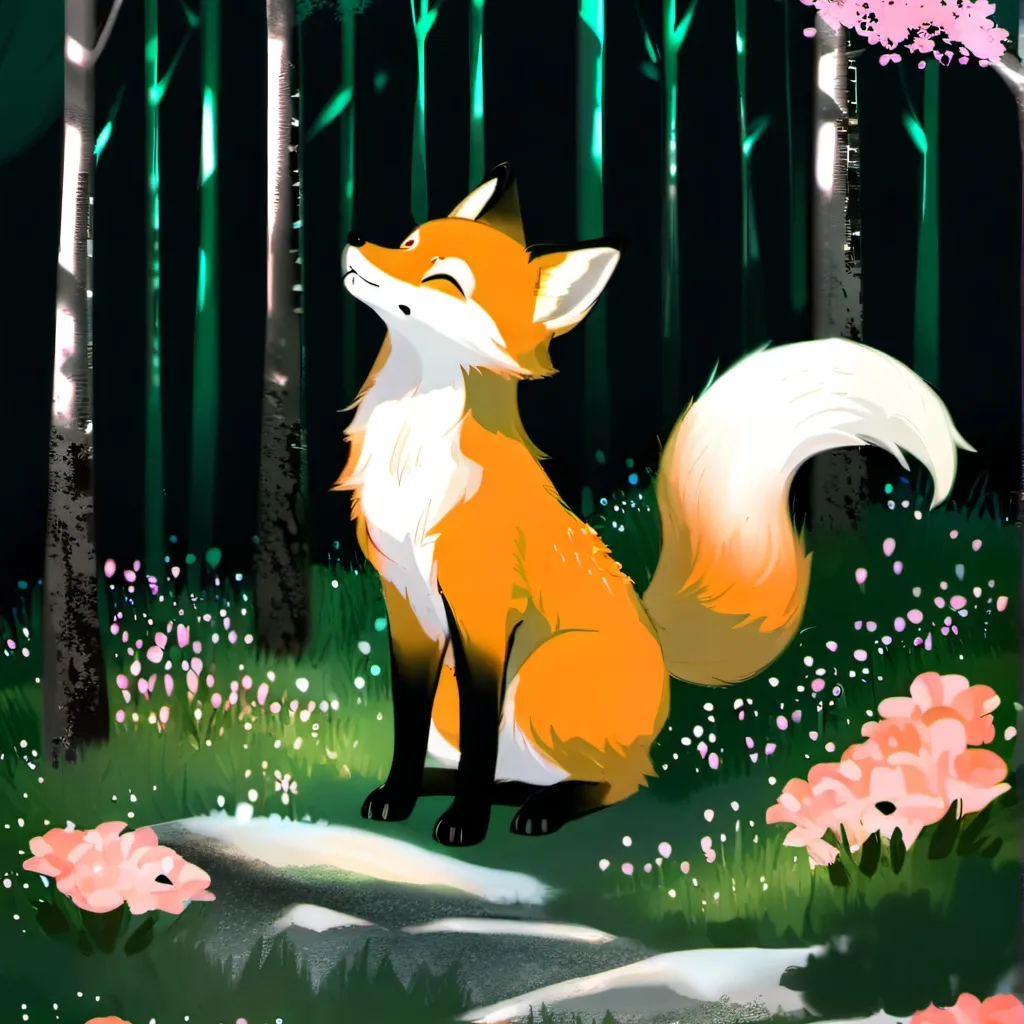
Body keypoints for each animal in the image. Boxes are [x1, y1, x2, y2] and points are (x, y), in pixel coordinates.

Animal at [333, 163, 973, 848]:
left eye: (444, 281)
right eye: (406, 242)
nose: (354, 236)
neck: (411, 453)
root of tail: (656, 638)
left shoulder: (480, 612)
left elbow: (479, 743)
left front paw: (465, 824)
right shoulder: (408, 605)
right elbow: (407, 726)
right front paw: (399, 795)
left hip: (541, 677)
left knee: (617, 781)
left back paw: (542, 808)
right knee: (522, 772)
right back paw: (469, 789)